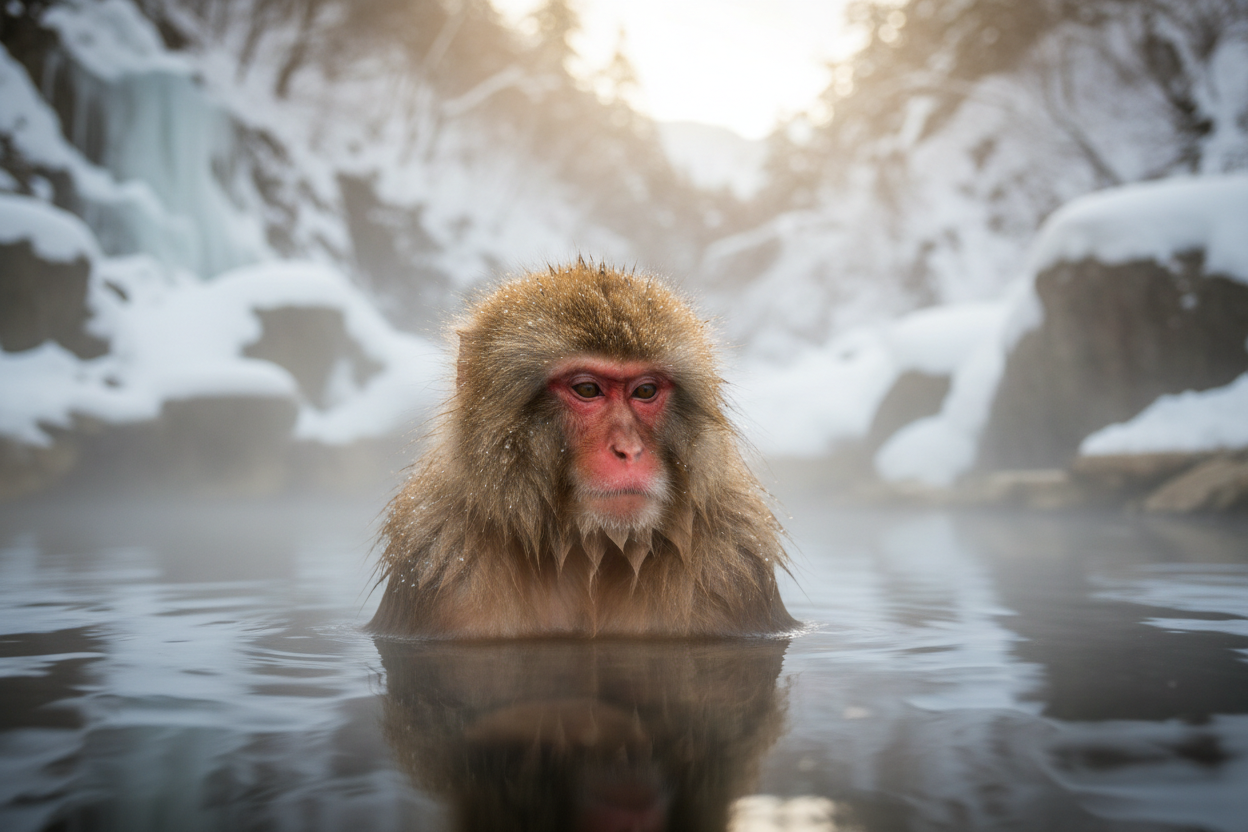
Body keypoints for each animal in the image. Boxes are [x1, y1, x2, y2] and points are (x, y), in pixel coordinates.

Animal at [368, 260, 796, 638]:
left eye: (645, 390)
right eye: (588, 389)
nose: (628, 450)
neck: (589, 550)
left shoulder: (734, 567)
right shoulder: (440, 564)